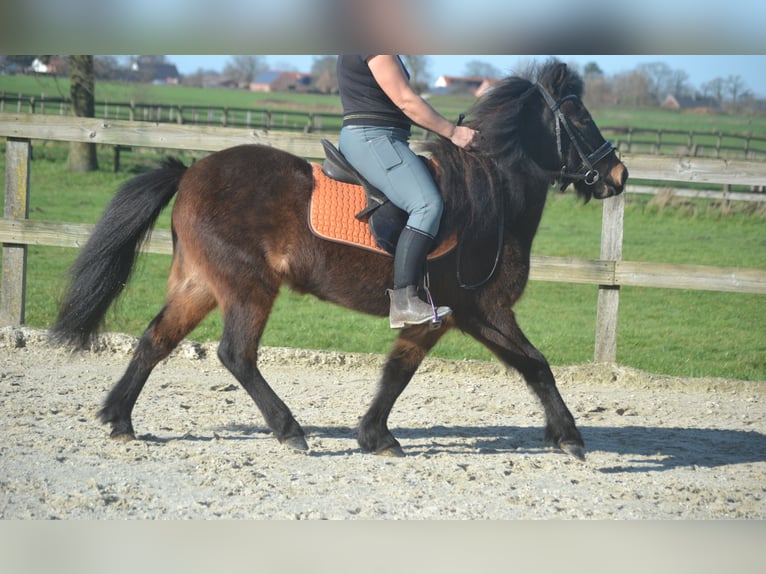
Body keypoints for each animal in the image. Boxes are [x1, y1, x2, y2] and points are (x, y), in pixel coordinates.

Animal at [51, 59, 628, 461]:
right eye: (579, 117)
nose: (618, 176)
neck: (492, 197)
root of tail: (191, 171)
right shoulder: (476, 309)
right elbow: (533, 364)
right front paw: (569, 436)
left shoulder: (453, 315)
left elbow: (405, 370)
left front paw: (374, 435)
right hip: (247, 287)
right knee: (236, 354)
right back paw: (289, 430)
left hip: (199, 284)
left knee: (156, 339)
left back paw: (119, 419)